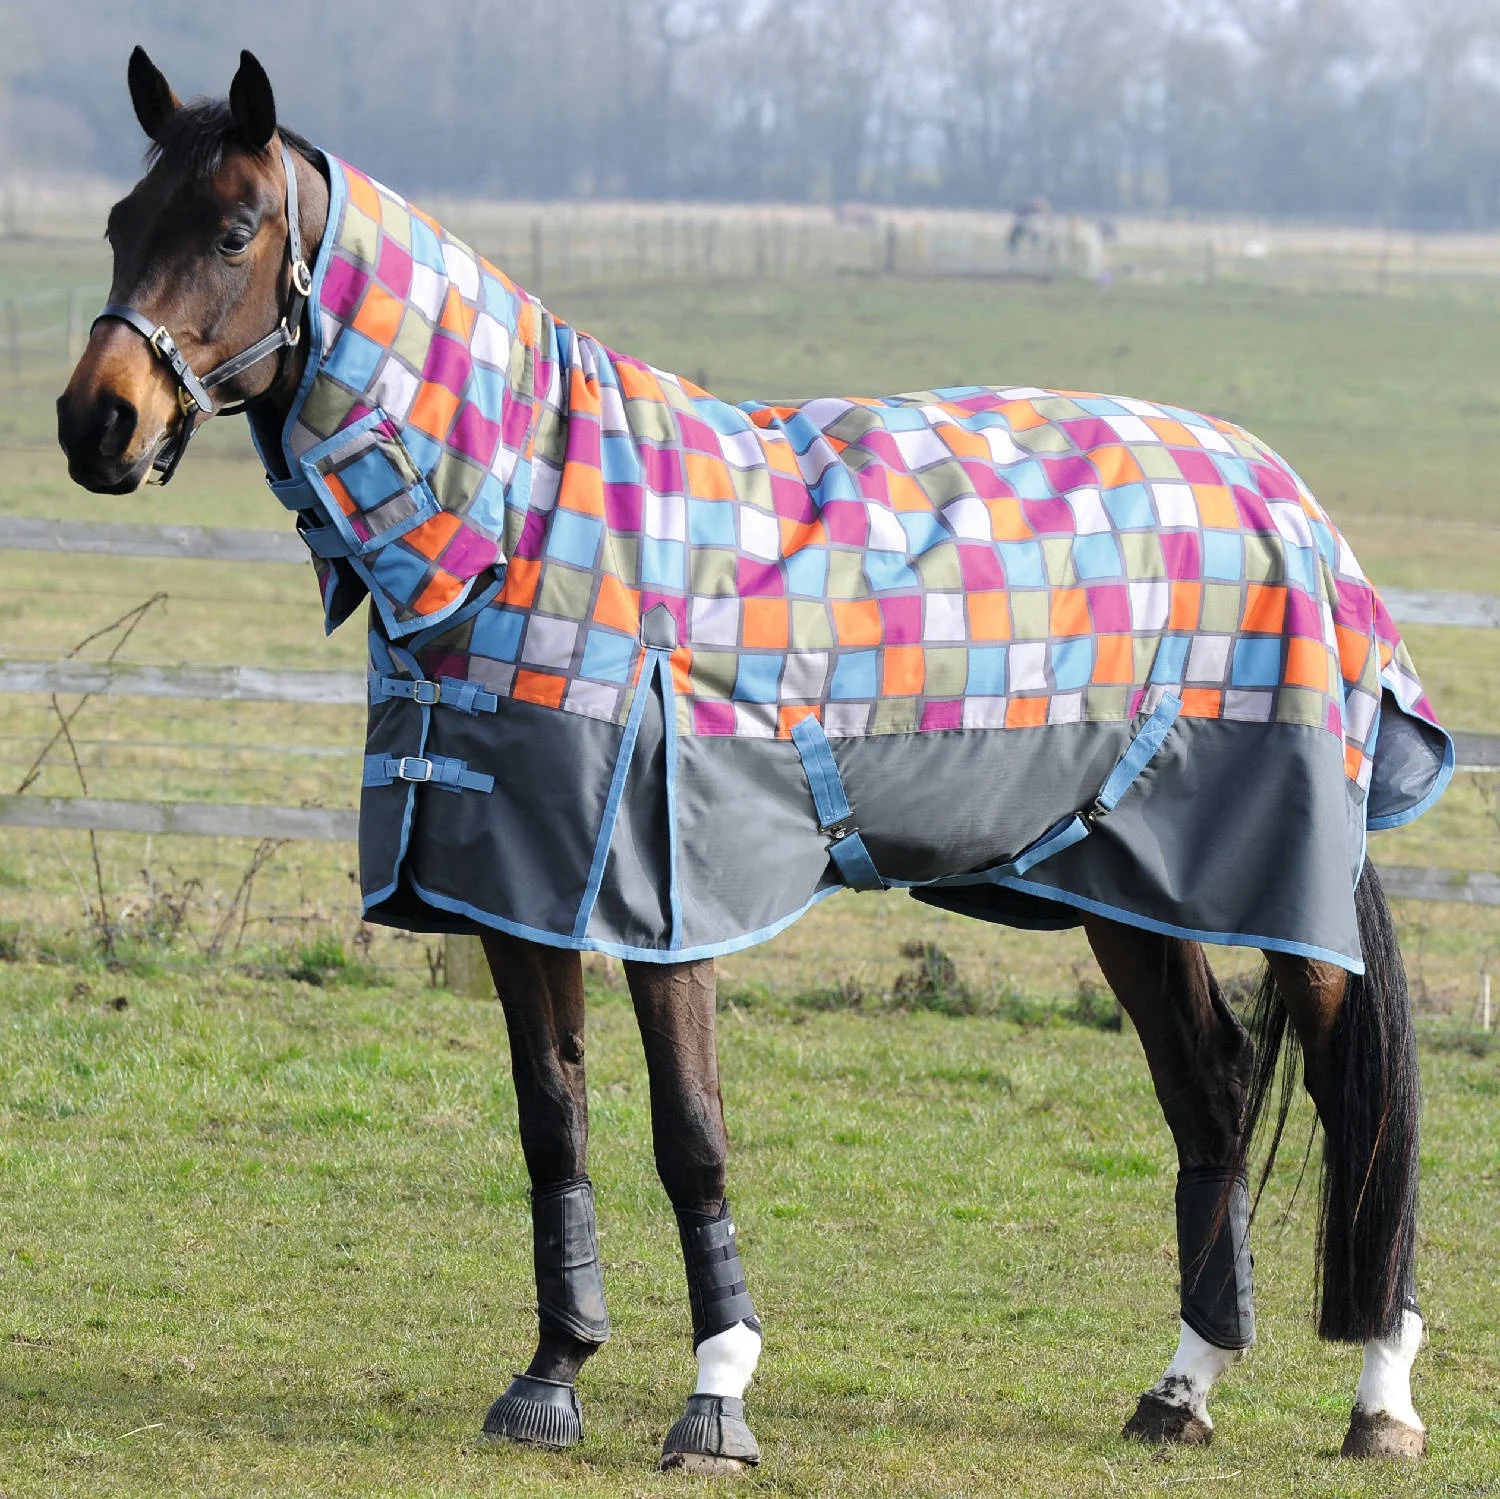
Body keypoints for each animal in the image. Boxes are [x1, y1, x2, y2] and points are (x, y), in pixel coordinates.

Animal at [56, 48, 1452, 1471]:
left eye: (233, 230)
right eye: (120, 222)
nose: (94, 422)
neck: (525, 515)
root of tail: (1283, 493)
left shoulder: (672, 901)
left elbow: (691, 1134)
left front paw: (716, 1393)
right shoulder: (516, 893)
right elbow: (550, 1117)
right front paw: (553, 1371)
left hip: (1284, 890)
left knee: (1360, 1106)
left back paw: (1379, 1398)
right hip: (1127, 884)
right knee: (1211, 1091)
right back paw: (1181, 1386)